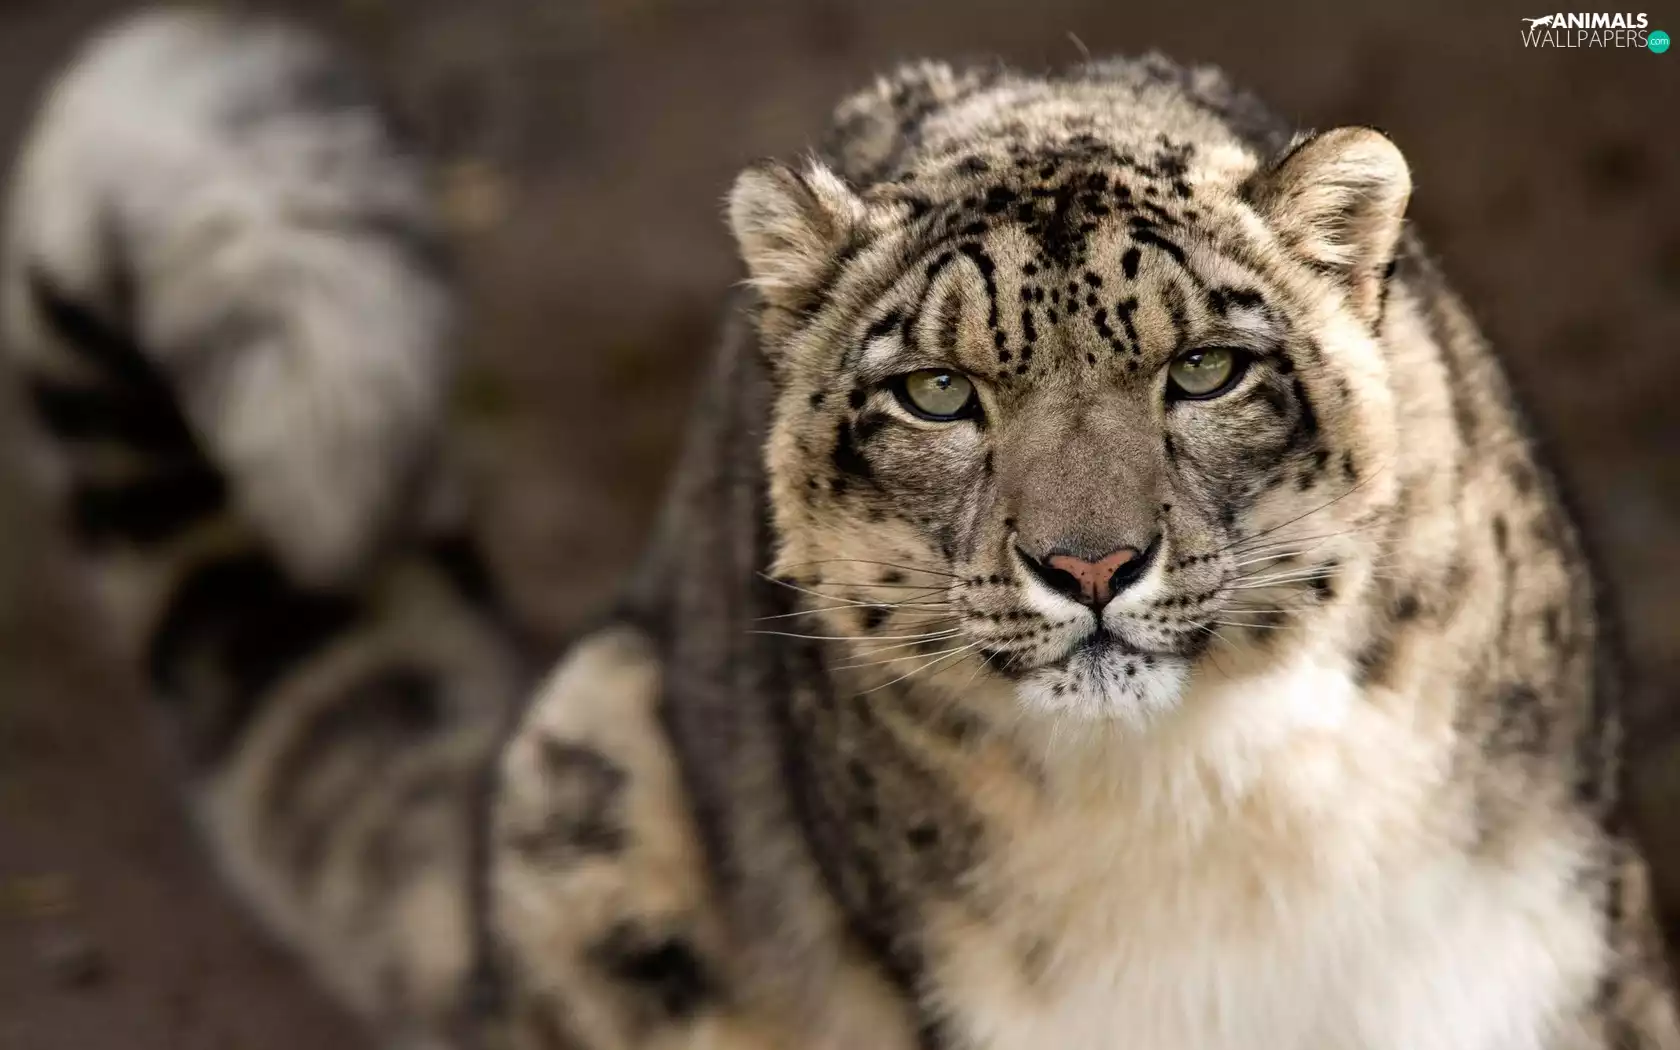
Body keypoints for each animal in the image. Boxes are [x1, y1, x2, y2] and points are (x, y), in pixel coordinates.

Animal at [6, 8, 1676, 1050]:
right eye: (938, 390)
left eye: (1205, 367)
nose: (1087, 564)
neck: (1223, 810)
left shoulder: (1553, 951)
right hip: (587, 781)